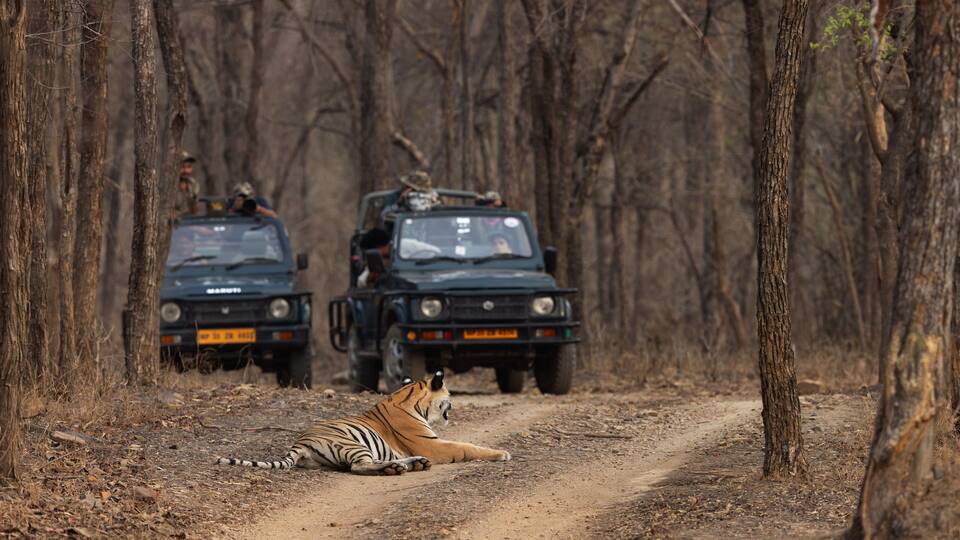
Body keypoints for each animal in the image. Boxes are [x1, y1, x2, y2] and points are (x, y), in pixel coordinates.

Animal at [215, 370, 511, 475]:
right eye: (448, 394)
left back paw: (412, 464)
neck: (409, 396)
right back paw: (398, 468)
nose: (454, 402)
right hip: (352, 443)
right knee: (359, 467)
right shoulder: (433, 445)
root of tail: (300, 442)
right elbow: (467, 446)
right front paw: (502, 453)